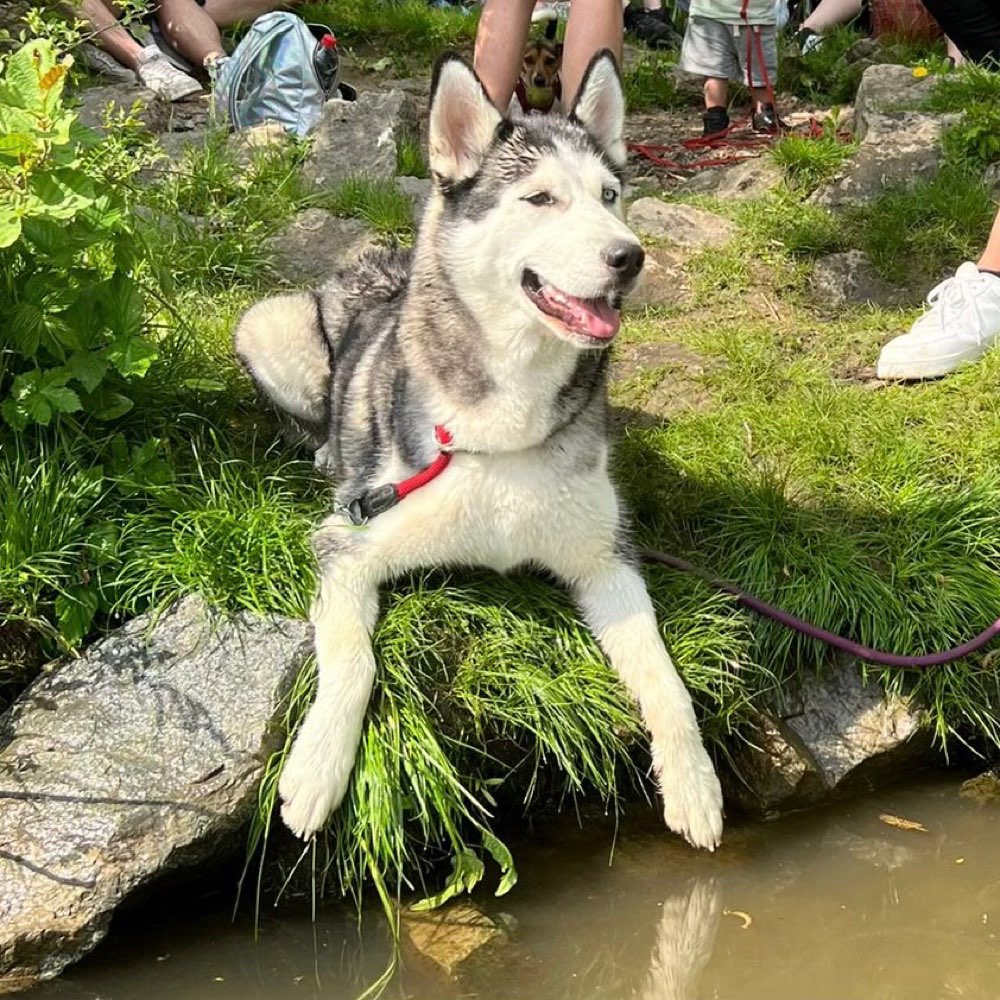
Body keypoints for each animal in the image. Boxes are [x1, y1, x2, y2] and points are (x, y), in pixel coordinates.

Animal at [238, 50, 724, 848]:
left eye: (610, 196)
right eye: (540, 199)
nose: (630, 257)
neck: (507, 424)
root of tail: (376, 258)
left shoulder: (608, 560)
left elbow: (665, 676)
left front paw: (694, 781)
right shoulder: (349, 541)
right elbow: (352, 661)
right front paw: (315, 769)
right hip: (265, 325)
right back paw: (323, 451)